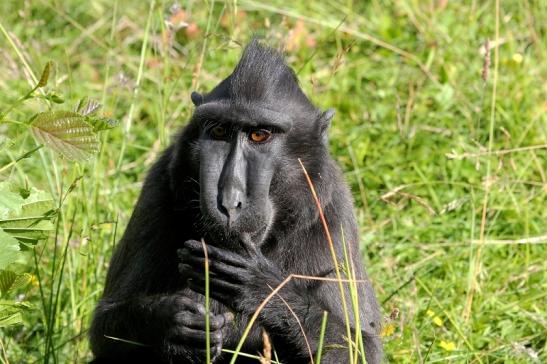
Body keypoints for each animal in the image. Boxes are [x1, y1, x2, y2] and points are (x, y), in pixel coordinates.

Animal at [90, 41, 384, 362]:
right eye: (219, 131)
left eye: (259, 135)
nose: (229, 201)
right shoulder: (158, 187)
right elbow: (103, 331)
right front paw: (173, 323)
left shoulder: (333, 211)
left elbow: (363, 348)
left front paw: (261, 285)